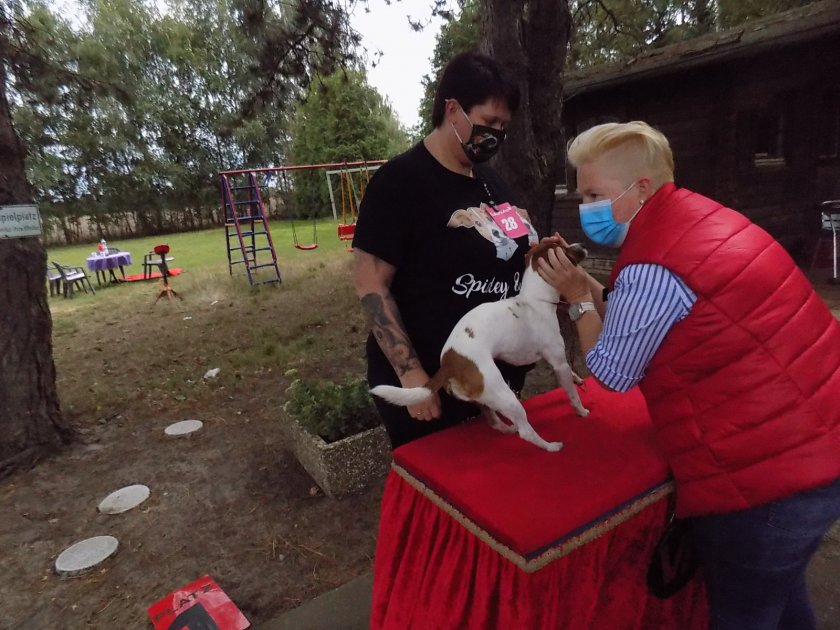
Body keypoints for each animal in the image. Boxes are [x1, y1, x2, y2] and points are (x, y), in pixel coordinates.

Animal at [371, 241, 590, 452]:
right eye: (565, 250)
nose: (583, 246)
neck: (534, 301)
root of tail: (449, 364)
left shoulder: (556, 361)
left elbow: (571, 376)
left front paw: (578, 379)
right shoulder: (559, 363)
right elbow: (572, 393)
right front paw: (581, 410)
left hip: (485, 397)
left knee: (494, 421)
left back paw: (508, 428)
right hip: (504, 394)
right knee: (525, 432)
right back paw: (550, 446)